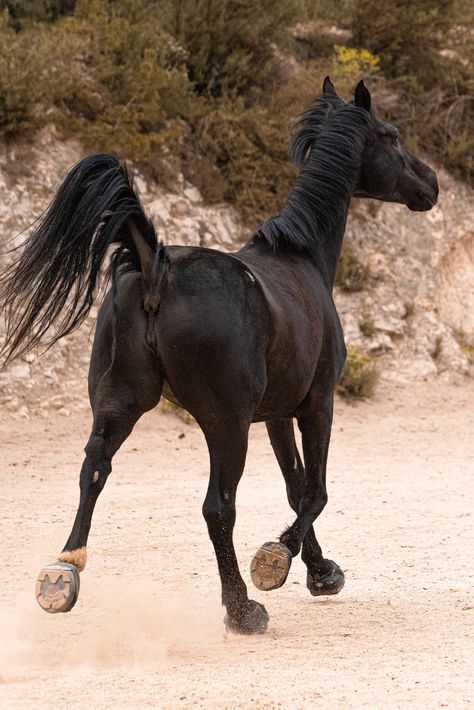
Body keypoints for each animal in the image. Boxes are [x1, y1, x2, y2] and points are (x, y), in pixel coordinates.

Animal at [0, 78, 436, 636]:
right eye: (392, 134)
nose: (431, 183)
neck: (302, 258)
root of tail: (156, 268)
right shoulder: (317, 406)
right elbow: (315, 491)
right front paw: (277, 560)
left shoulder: (276, 416)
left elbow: (295, 487)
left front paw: (321, 572)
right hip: (225, 425)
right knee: (217, 508)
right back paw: (242, 608)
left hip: (118, 407)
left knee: (93, 472)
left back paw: (61, 575)